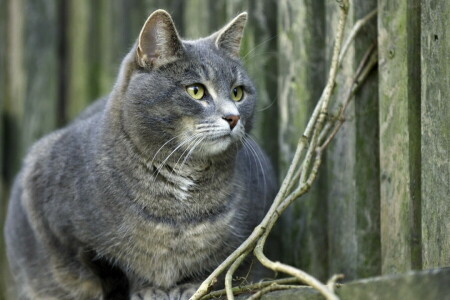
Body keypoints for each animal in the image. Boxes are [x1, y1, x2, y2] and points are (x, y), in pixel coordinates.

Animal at [5, 9, 276, 300]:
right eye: (196, 90)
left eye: (238, 93)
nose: (233, 117)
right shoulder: (49, 209)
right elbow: (109, 268)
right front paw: (147, 289)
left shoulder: (252, 229)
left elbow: (221, 265)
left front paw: (191, 285)